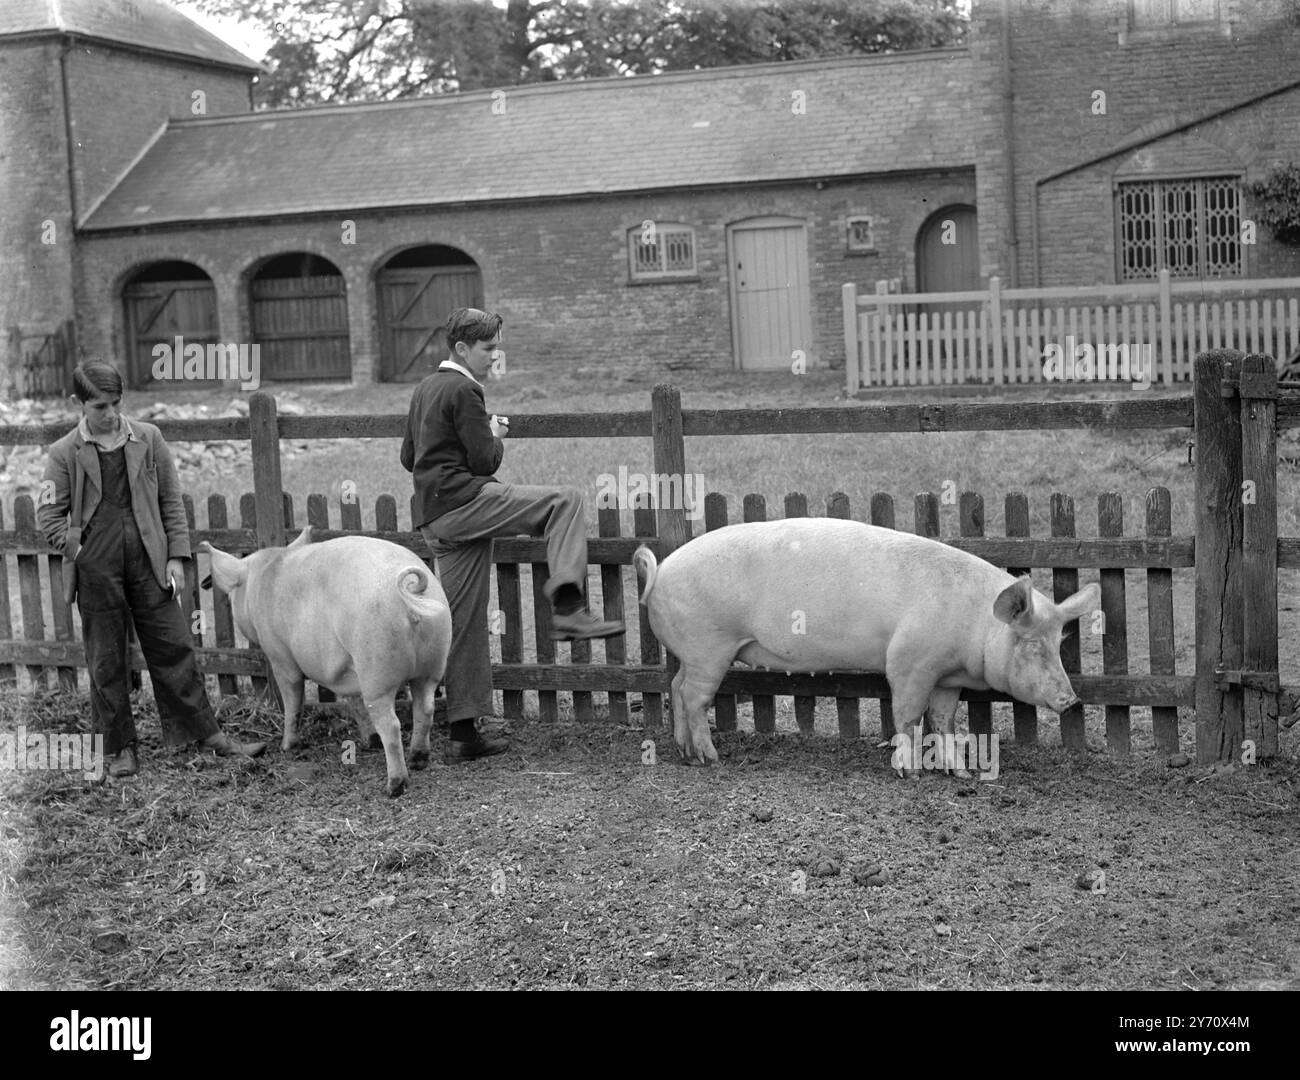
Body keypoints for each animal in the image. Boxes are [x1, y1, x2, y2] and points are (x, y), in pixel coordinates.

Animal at [198, 527, 452, 800]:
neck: (261, 577)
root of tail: (412, 600)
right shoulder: (348, 672)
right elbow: (355, 704)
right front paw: (369, 741)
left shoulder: (280, 657)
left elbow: (293, 702)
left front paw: (287, 747)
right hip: (433, 663)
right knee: (425, 709)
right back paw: (419, 760)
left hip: (376, 671)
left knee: (392, 725)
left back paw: (395, 786)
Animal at [634, 519, 1102, 774]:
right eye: (1032, 645)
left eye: (1059, 642)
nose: (1072, 699)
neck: (974, 624)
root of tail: (661, 571)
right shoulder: (910, 661)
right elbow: (908, 716)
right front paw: (910, 774)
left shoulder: (947, 677)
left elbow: (944, 720)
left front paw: (961, 774)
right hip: (709, 647)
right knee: (694, 698)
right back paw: (710, 759)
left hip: (693, 653)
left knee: (675, 688)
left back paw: (684, 754)